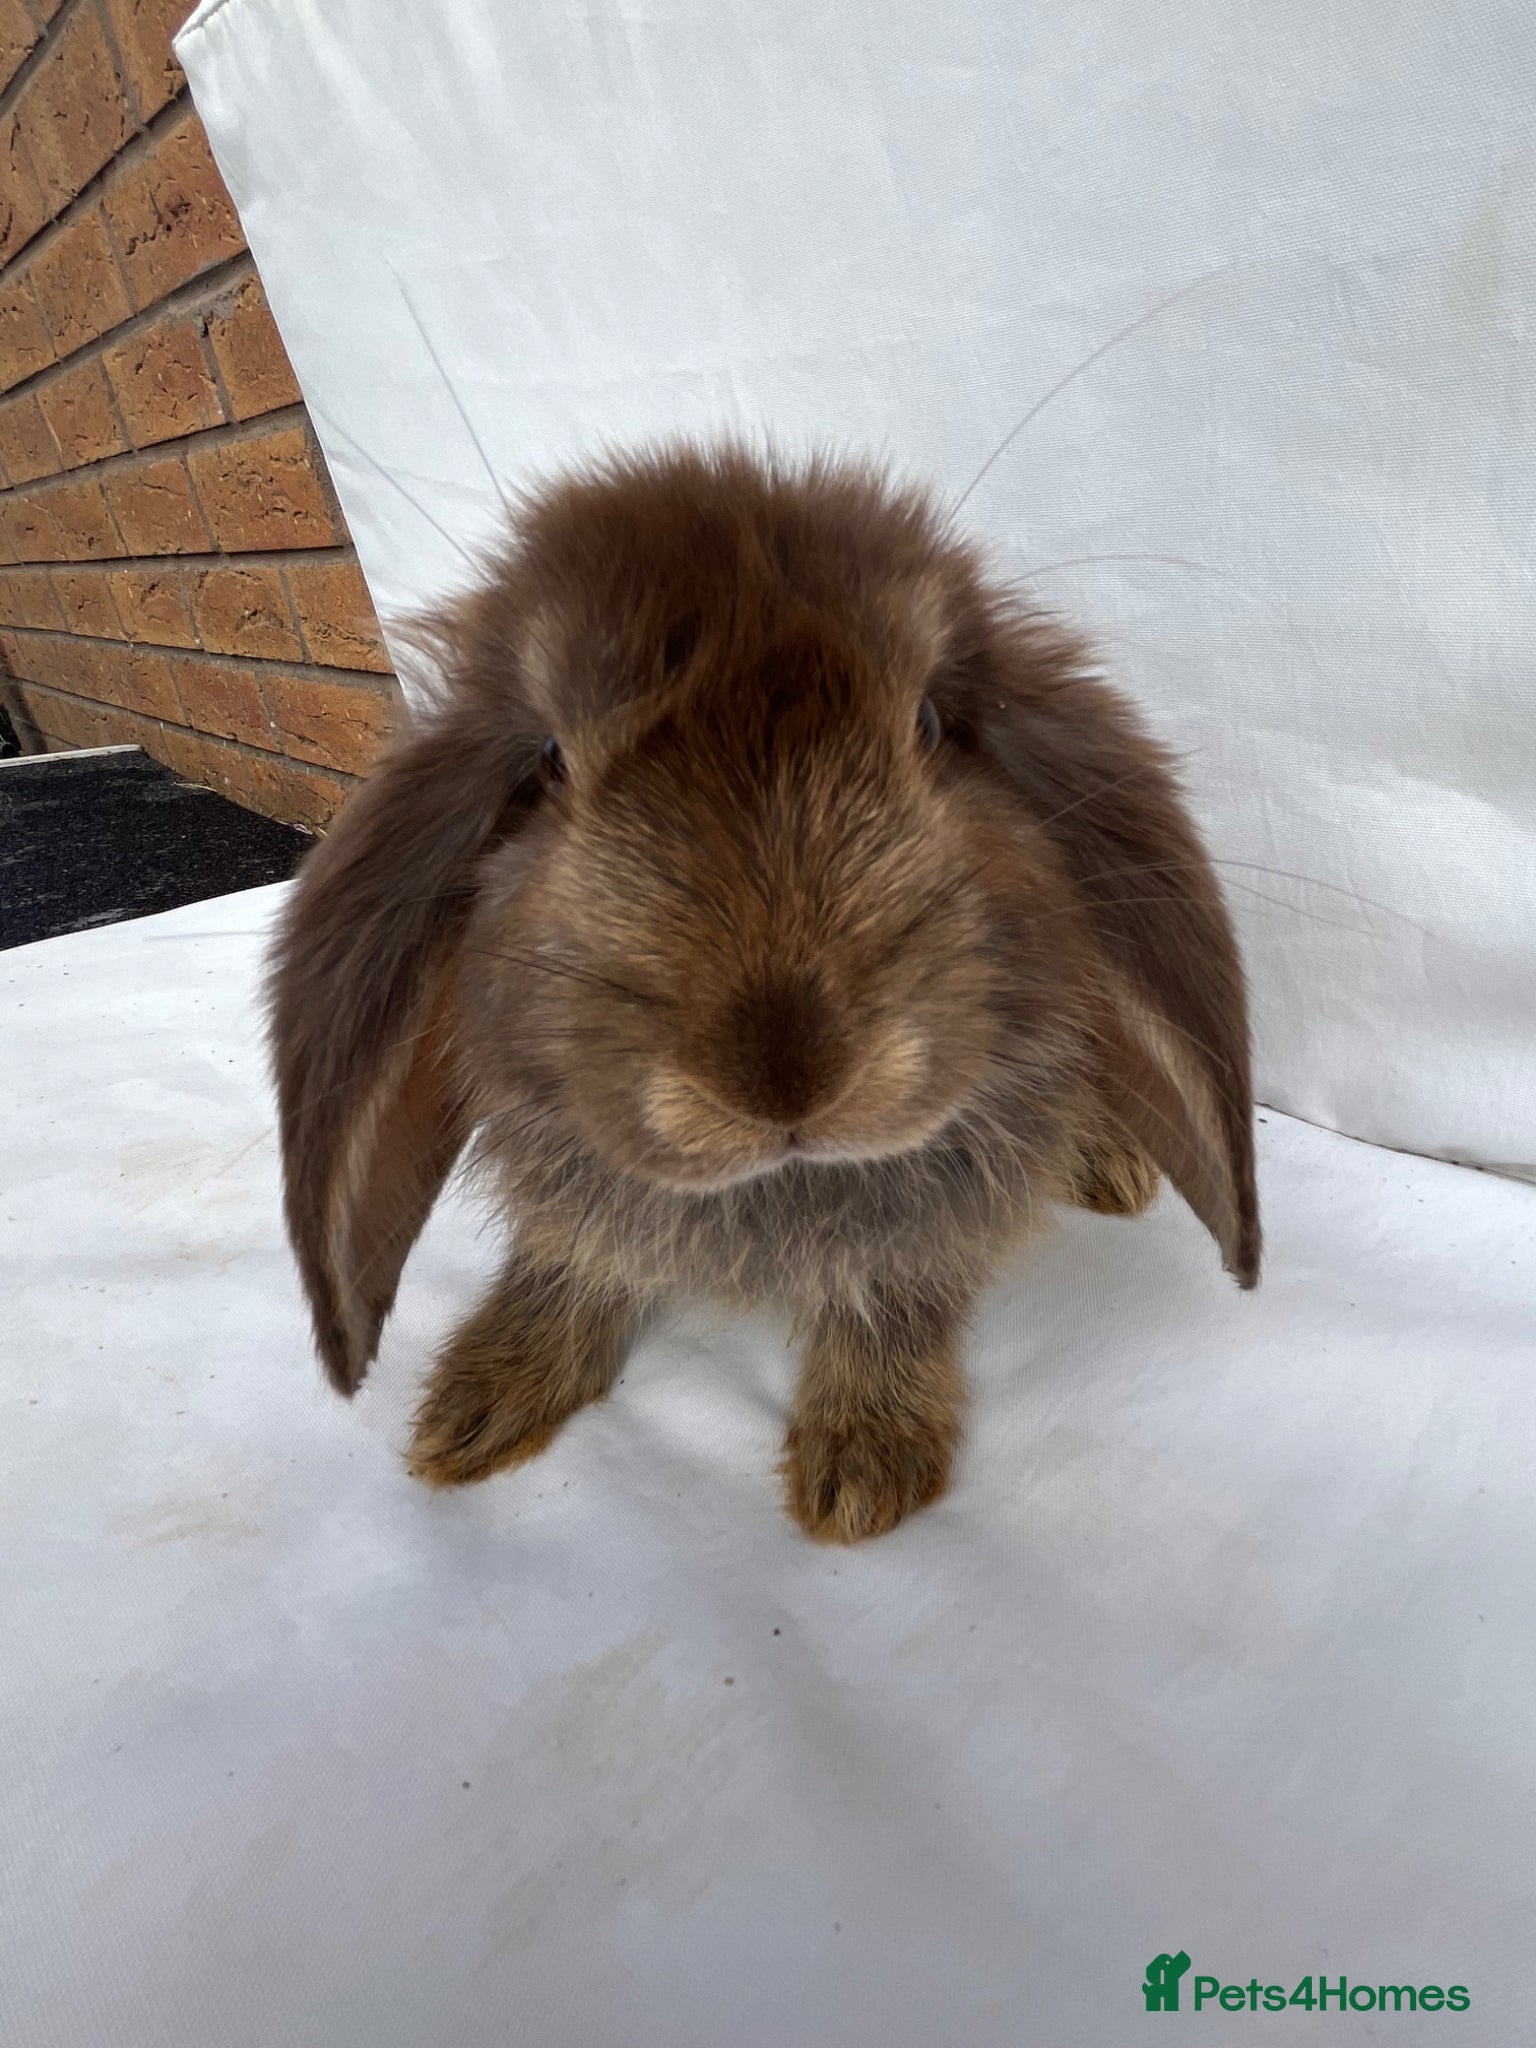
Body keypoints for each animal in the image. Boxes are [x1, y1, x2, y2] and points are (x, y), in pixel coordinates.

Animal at [268, 440, 1259, 1543]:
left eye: (929, 722)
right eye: (550, 762)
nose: (786, 1072)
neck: (776, 1184)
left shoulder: (927, 1230)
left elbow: (888, 1302)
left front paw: (862, 1464)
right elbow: (566, 1263)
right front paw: (478, 1404)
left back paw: (1111, 1165)